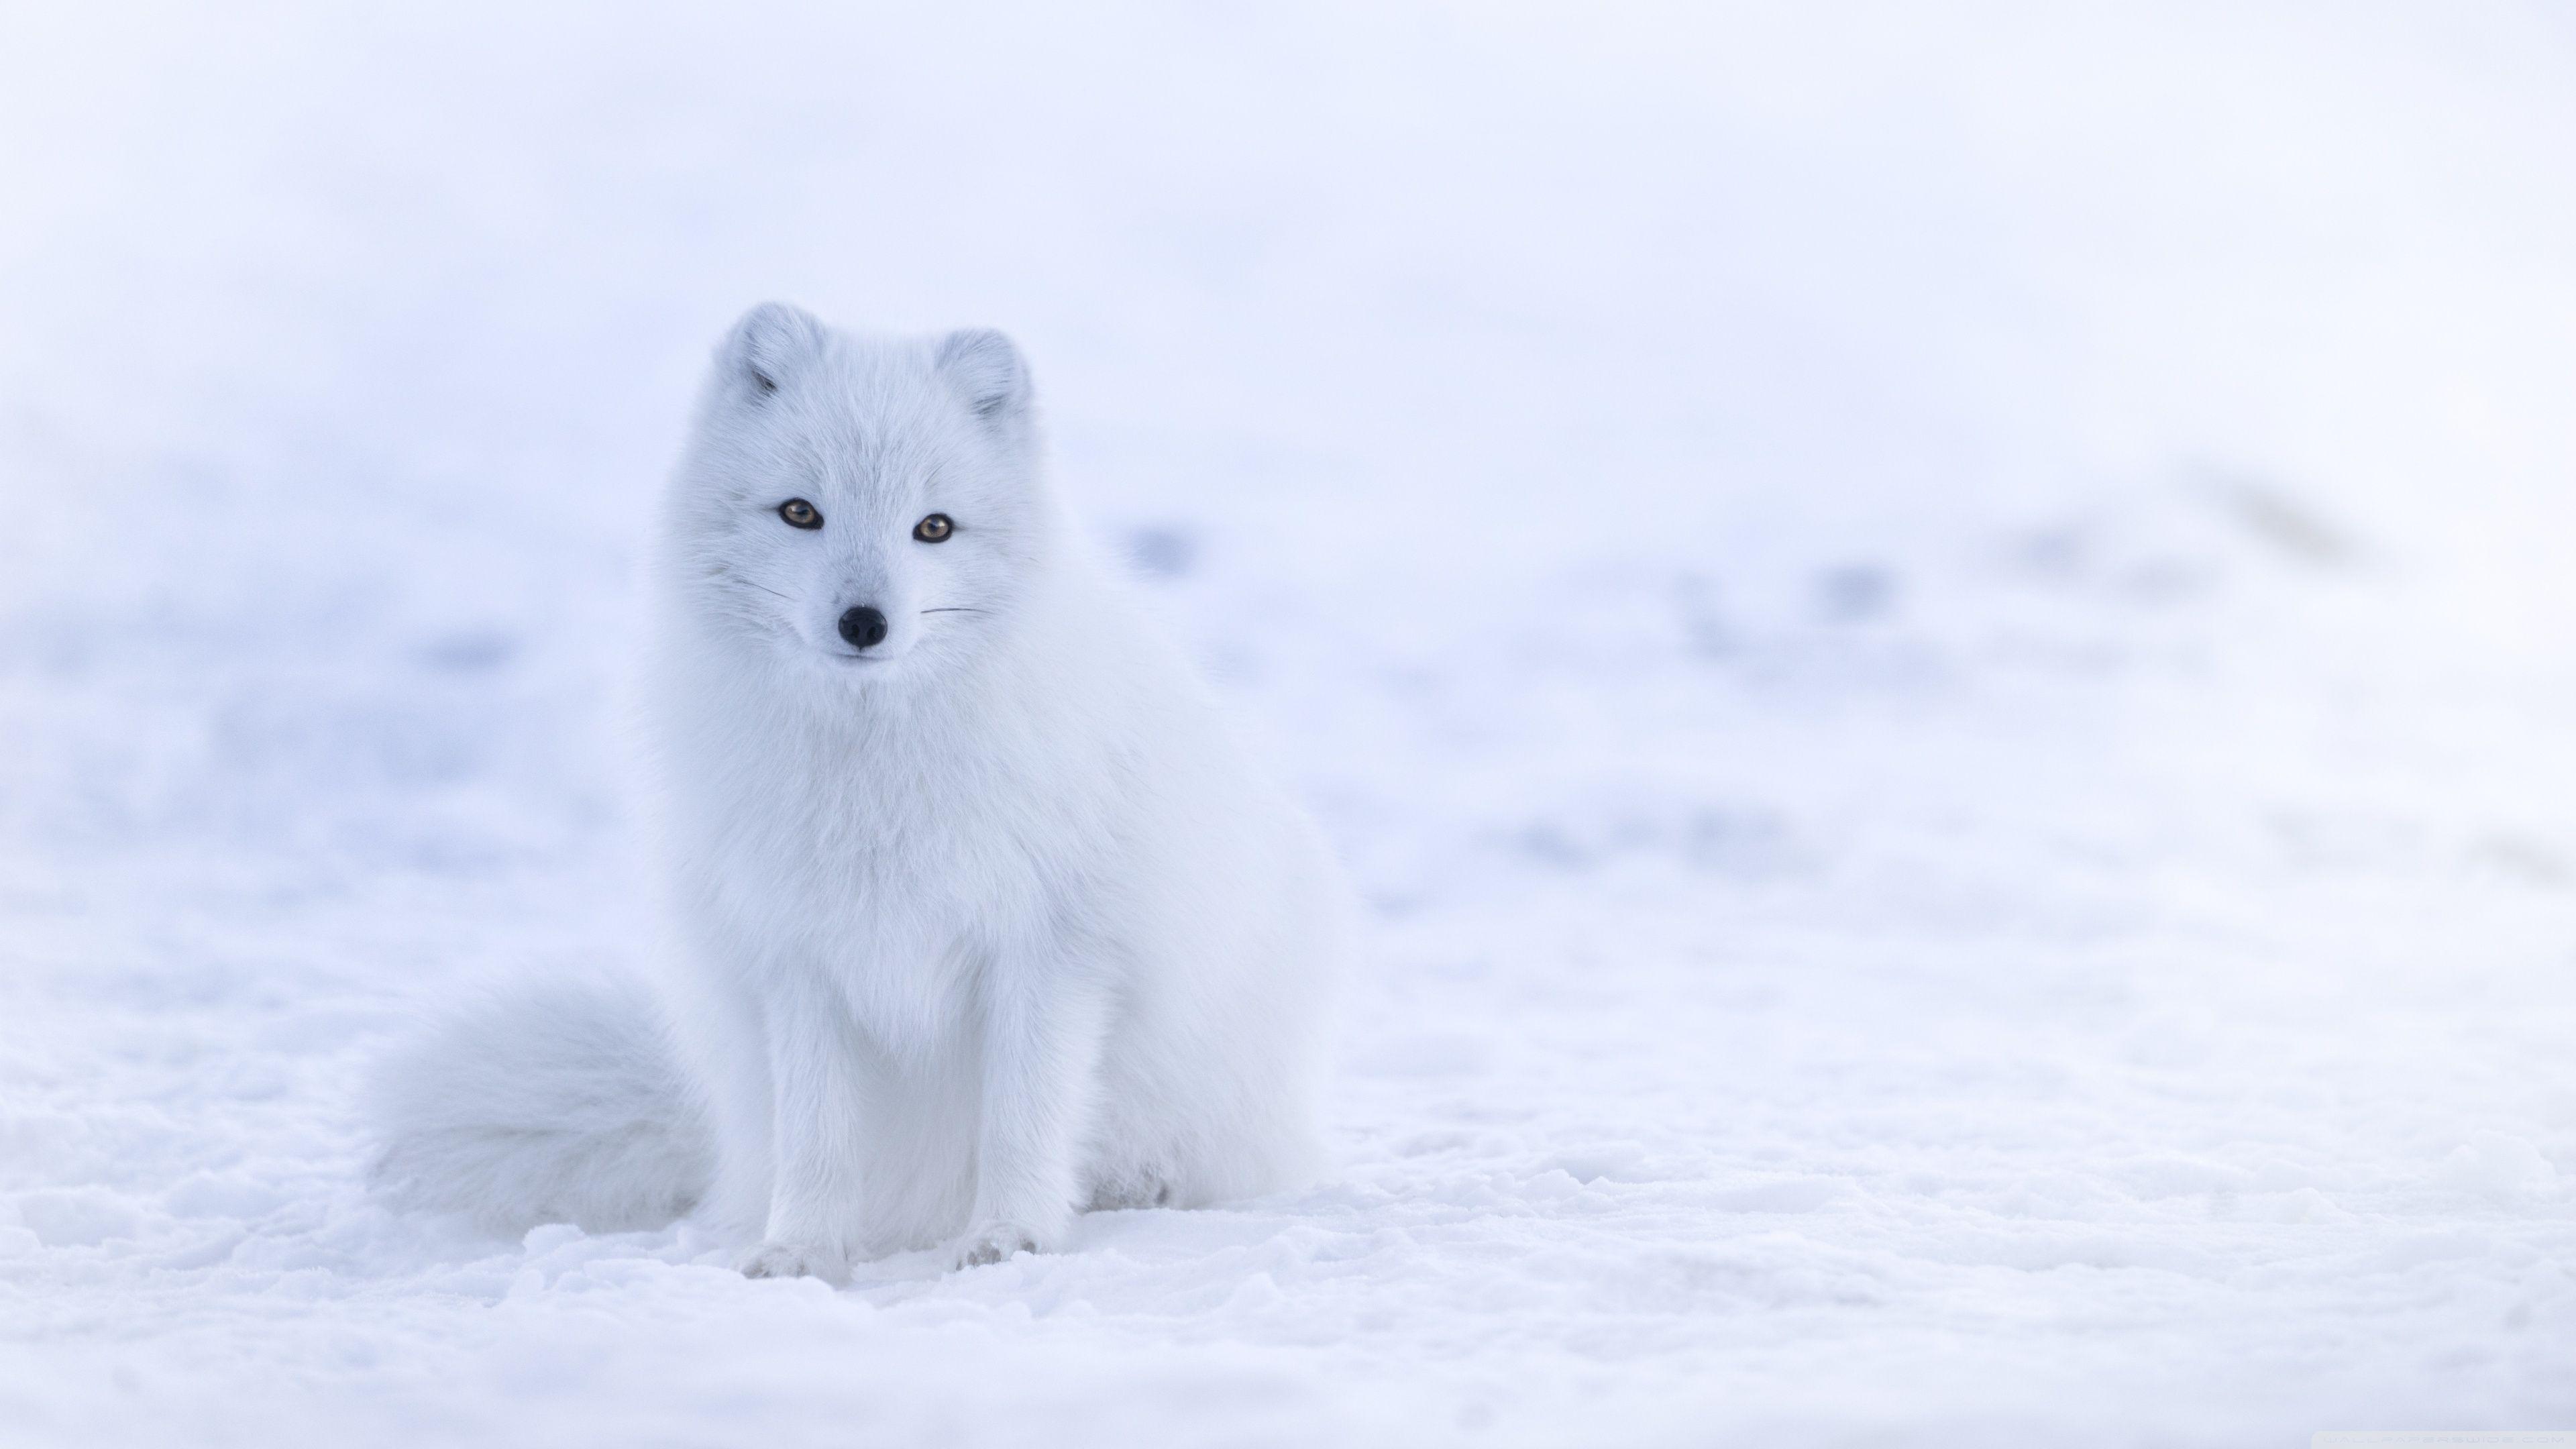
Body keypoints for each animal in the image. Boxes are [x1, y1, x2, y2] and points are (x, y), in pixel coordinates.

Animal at [370, 304, 1350, 1280]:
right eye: (802, 512)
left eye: (935, 528)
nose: (864, 623)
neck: (875, 772)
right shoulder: (798, 958)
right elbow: (817, 1136)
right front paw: (801, 1251)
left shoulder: (1052, 950)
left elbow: (1023, 1119)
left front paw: (1011, 1236)